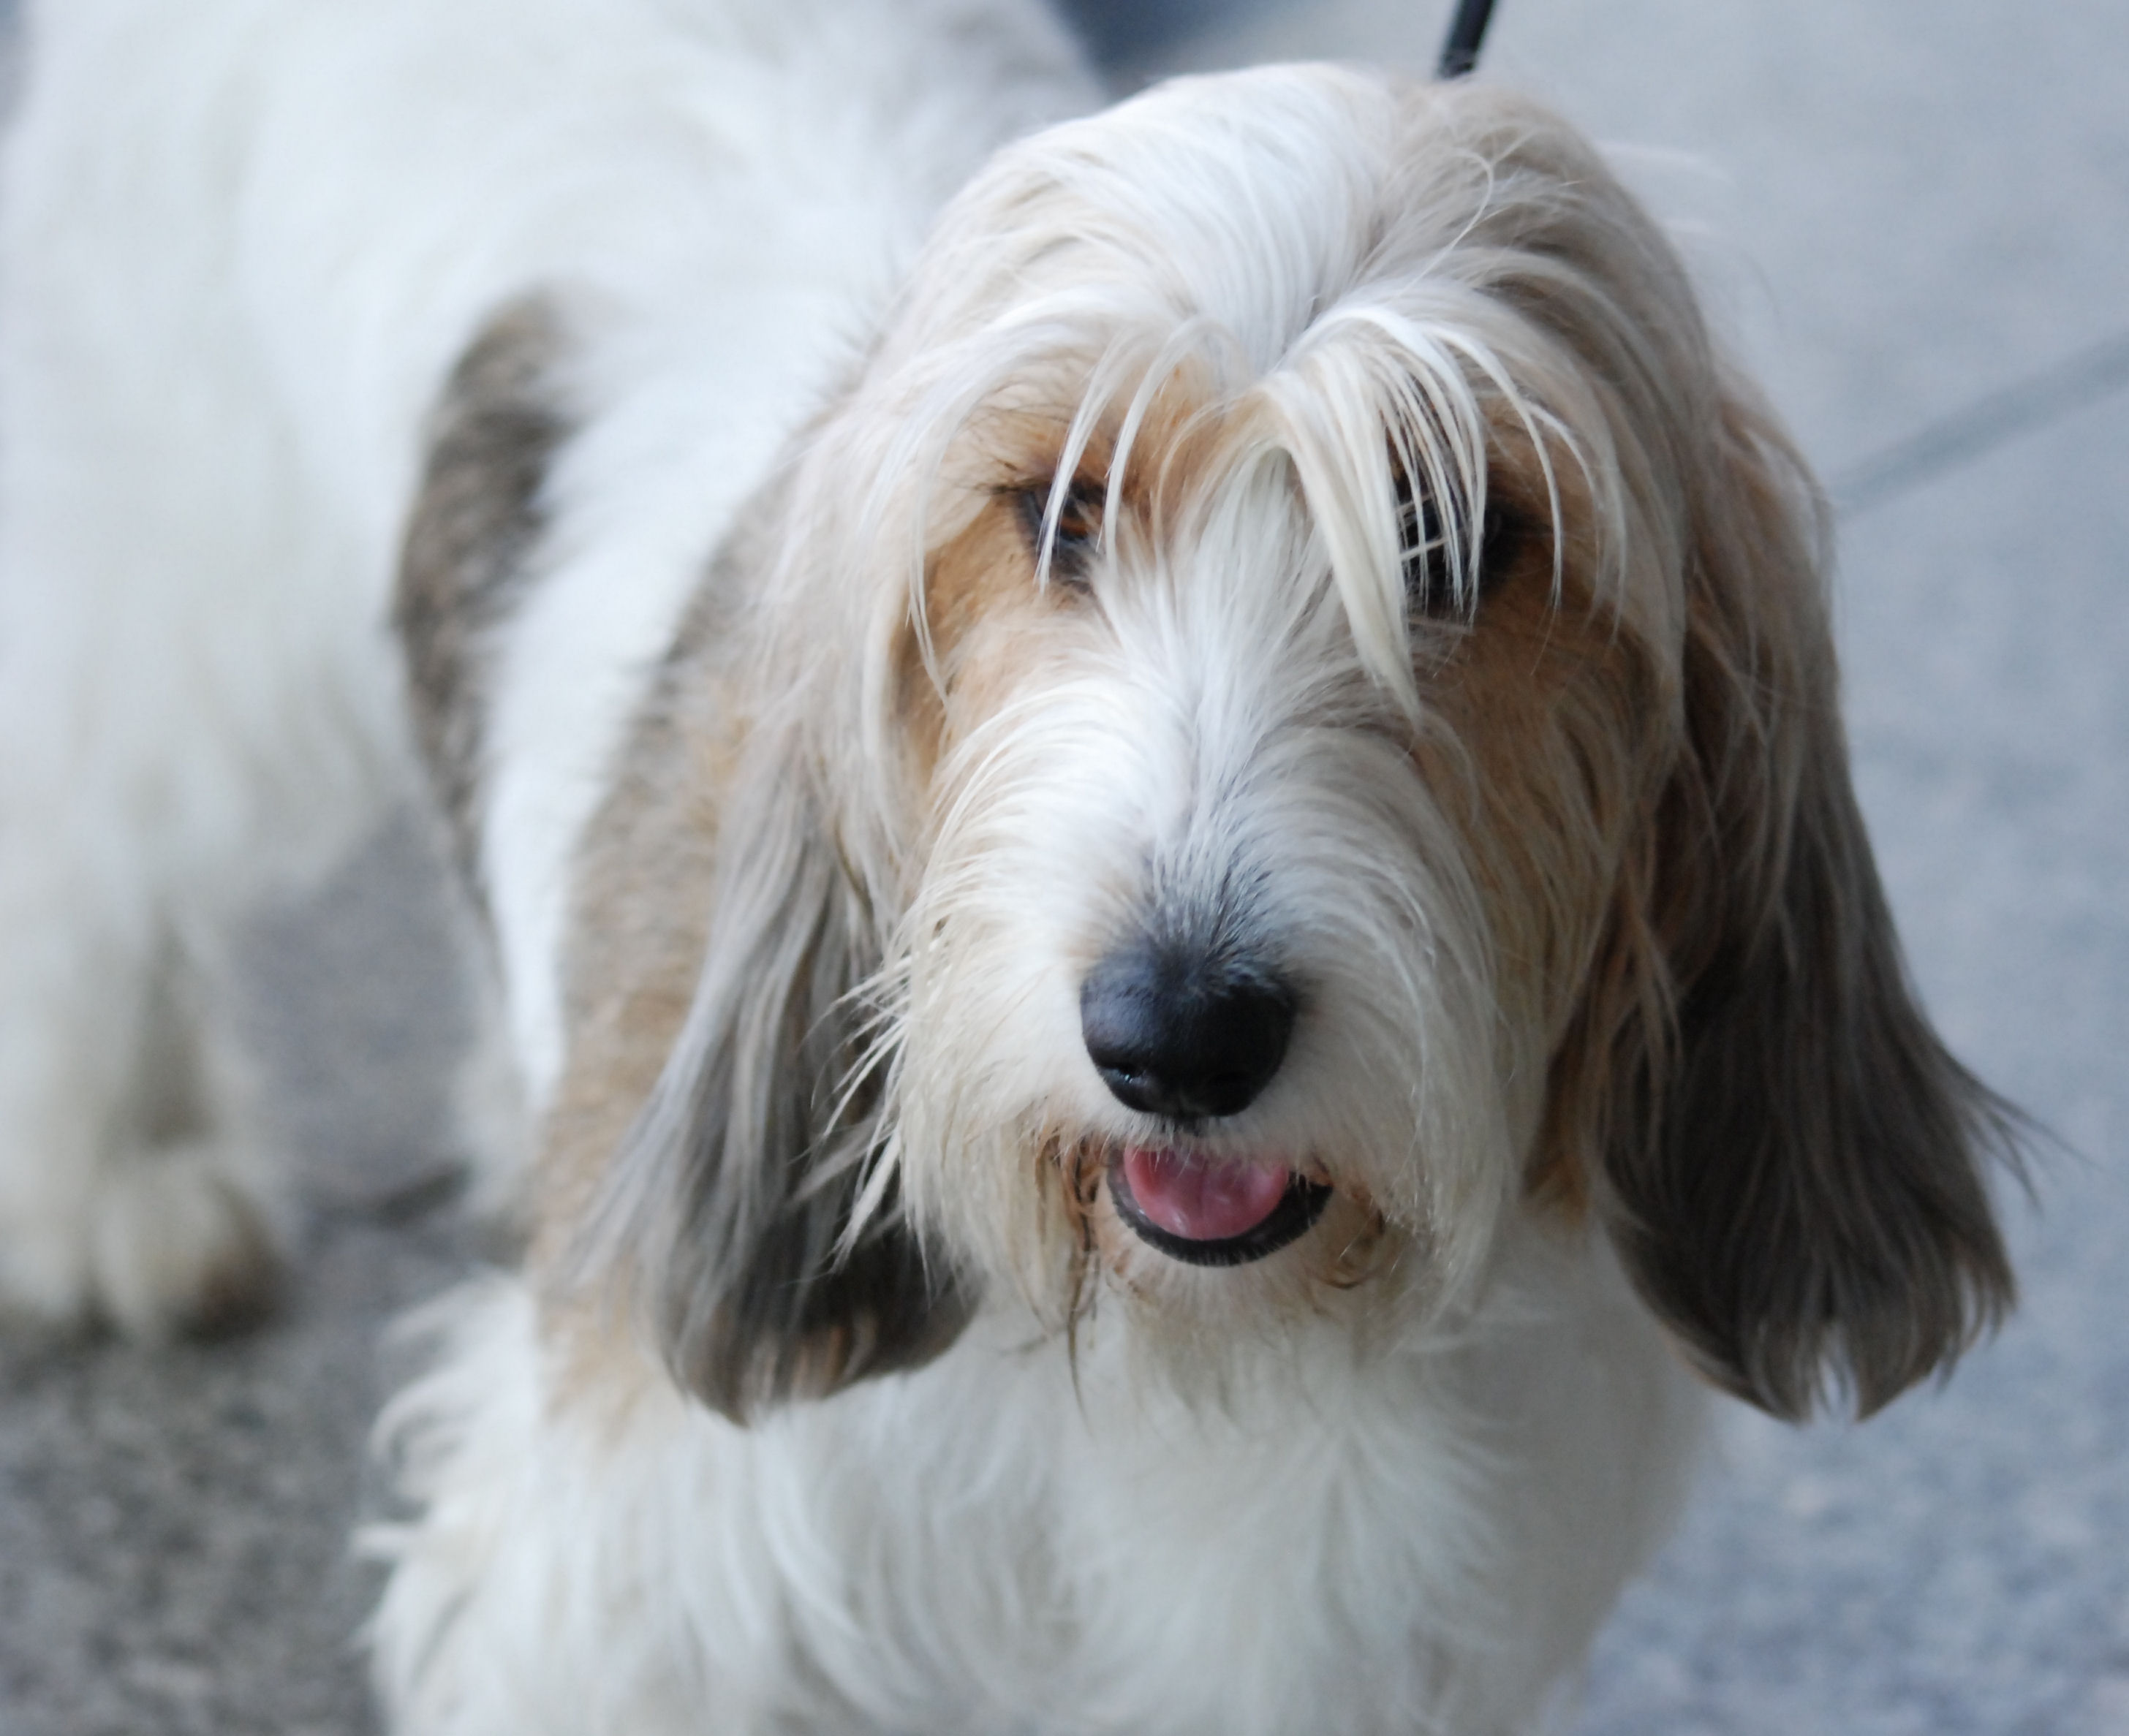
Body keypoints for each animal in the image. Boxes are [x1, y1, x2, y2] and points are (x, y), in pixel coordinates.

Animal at [0, 3, 2009, 1736]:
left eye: (1453, 533)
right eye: (1055, 509)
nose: (1177, 1034)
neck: (1169, 1340)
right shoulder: (633, 1596)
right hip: (183, 596)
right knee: (82, 832)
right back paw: (119, 1177)